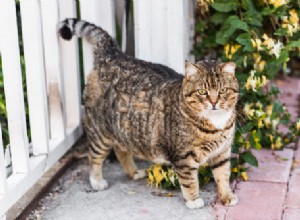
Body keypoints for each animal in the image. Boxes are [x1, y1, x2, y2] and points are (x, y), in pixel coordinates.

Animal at [58, 18, 239, 209]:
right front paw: (193, 200)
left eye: (223, 90)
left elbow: (223, 176)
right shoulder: (184, 158)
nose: (214, 102)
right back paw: (97, 181)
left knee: (121, 149)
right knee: (94, 156)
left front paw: (227, 196)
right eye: (202, 92)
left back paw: (134, 172)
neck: (216, 123)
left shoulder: (222, 152)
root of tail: (113, 55)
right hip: (100, 131)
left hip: (124, 129)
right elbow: (190, 181)